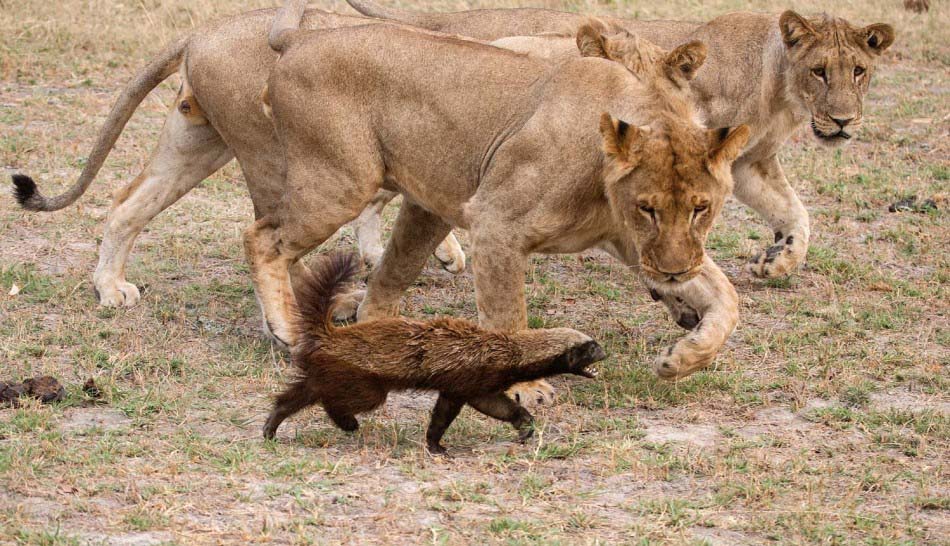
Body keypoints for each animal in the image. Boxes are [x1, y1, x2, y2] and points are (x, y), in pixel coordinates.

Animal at [251, 6, 749, 394]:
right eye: (648, 208)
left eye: (701, 209)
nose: (674, 274)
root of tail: (302, 37)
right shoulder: (496, 224)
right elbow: (509, 317)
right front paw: (526, 389)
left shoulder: (634, 243)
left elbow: (725, 295)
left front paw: (683, 359)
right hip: (341, 183)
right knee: (262, 238)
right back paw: (286, 328)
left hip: (415, 201)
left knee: (379, 279)